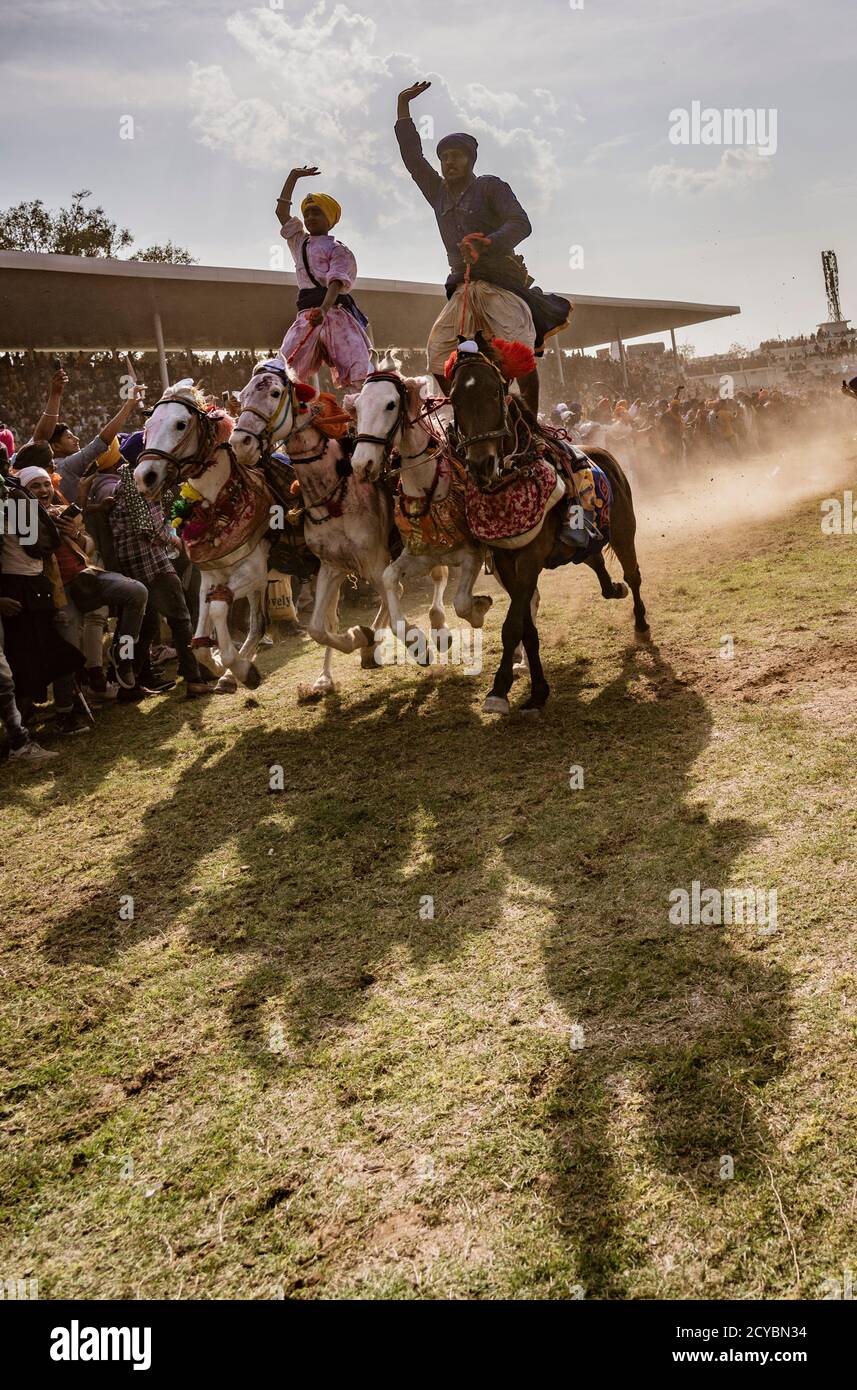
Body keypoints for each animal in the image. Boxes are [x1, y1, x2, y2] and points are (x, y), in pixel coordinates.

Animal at [133, 380, 273, 689]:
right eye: (148, 425)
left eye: (181, 424)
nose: (143, 477)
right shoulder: (210, 575)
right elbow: (198, 642)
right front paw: (228, 667)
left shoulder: (255, 571)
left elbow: (219, 609)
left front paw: (237, 666)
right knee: (258, 623)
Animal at [231, 364, 397, 700]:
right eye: (243, 395)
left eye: (274, 392)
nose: (241, 443)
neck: (337, 492)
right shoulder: (331, 565)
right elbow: (320, 628)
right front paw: (358, 640)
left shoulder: (375, 562)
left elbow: (388, 596)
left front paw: (367, 638)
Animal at [348, 372, 494, 658]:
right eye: (357, 407)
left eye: (390, 405)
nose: (361, 464)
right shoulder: (421, 555)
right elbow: (389, 579)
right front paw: (415, 642)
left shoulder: (473, 554)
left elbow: (462, 602)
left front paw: (479, 608)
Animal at [447, 330, 647, 711]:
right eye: (454, 398)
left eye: (494, 391)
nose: (481, 464)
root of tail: (606, 454)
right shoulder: (506, 561)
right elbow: (525, 627)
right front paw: (537, 689)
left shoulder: (529, 559)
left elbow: (513, 625)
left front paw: (499, 688)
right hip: (582, 541)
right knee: (596, 560)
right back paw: (613, 588)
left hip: (624, 531)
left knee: (633, 573)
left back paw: (641, 622)